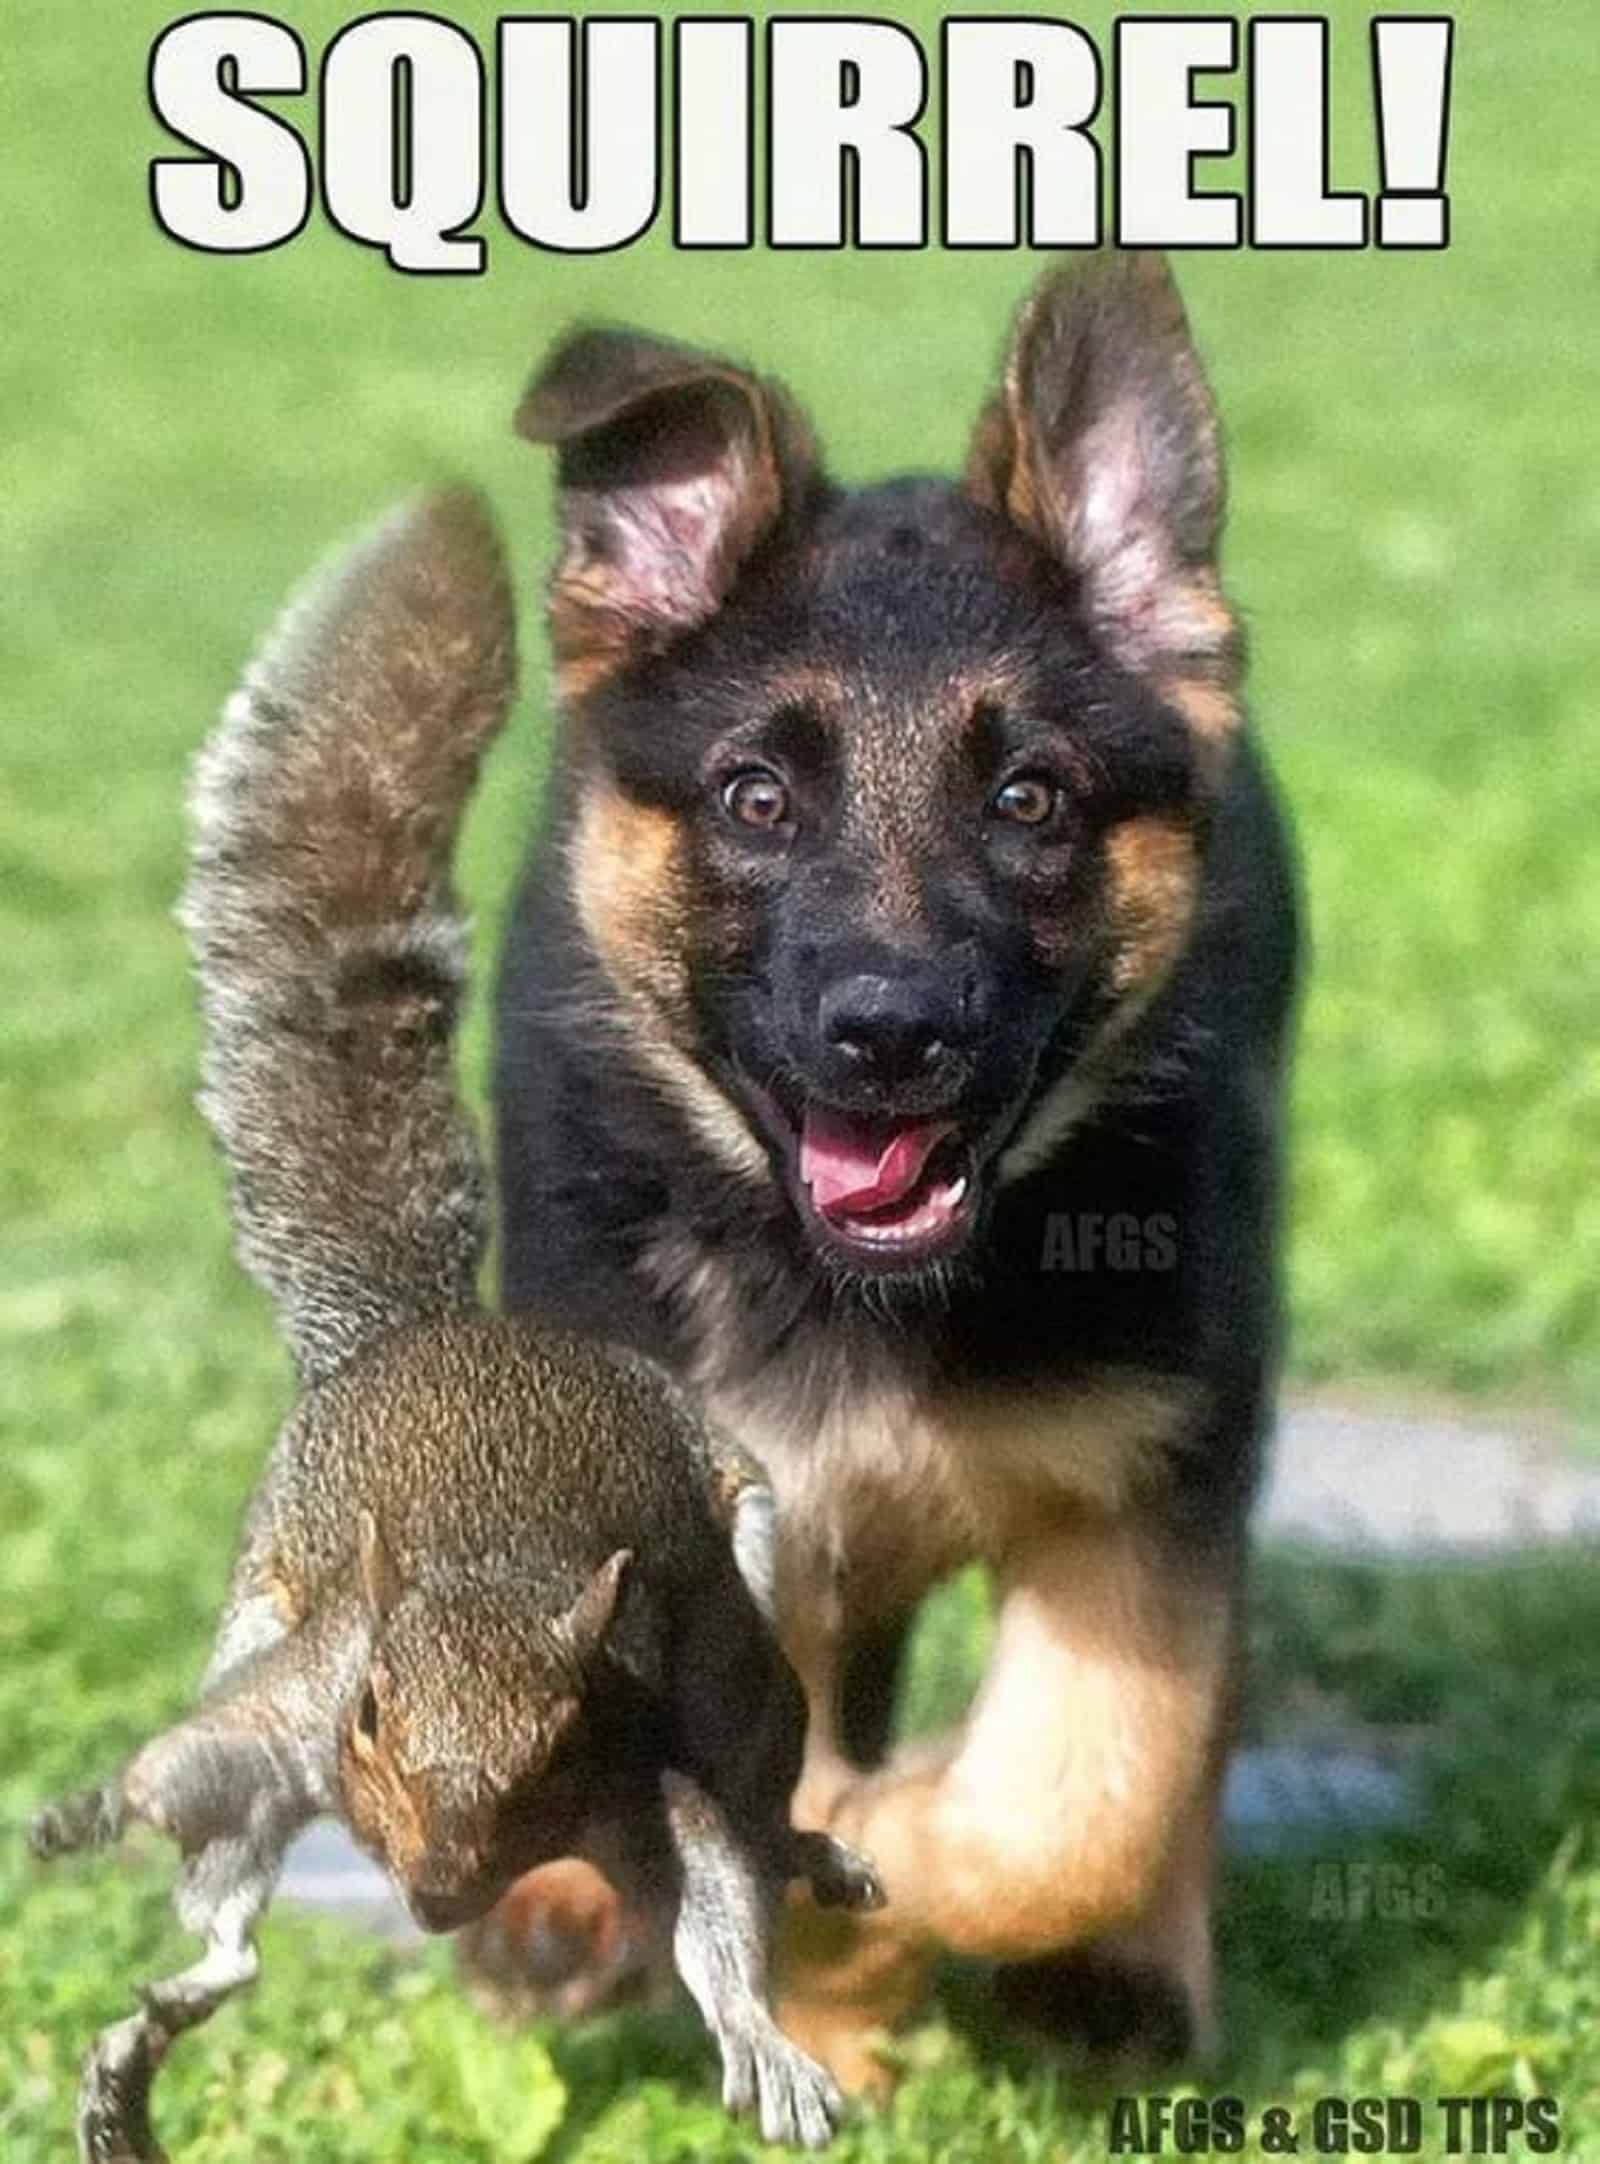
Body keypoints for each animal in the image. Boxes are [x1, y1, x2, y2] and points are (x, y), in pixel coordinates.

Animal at [31, 491, 883, 2164]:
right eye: (371, 1714)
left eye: (555, 1740)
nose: (432, 1897)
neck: (490, 1579)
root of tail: (429, 1333)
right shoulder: (301, 1696)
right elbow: (190, 1769)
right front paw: (88, 1810)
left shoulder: (640, 1774)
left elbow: (719, 1908)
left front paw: (766, 2042)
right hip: (267, 1610)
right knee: (227, 1930)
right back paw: (140, 2040)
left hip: (743, 1592)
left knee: (761, 1794)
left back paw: (815, 1852)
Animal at [487, 253, 1299, 2094]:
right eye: (755, 798)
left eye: (1032, 798)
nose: (890, 1033)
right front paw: (828, 2008)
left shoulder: (1152, 1475)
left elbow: (1081, 1794)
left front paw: (900, 1848)